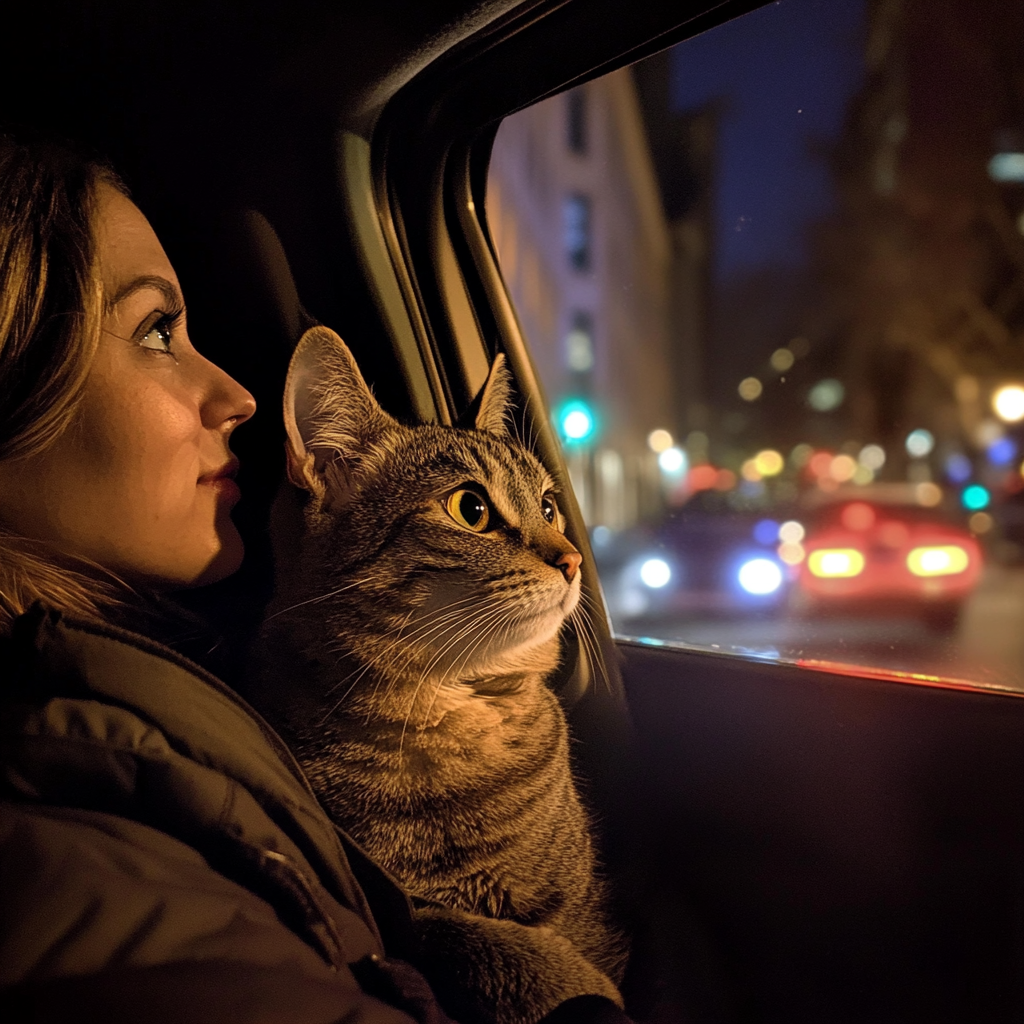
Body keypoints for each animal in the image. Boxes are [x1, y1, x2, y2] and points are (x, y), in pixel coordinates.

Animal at [251, 327, 626, 1024]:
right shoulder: (413, 905)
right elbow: (471, 939)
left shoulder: (580, 909)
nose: (572, 561)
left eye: (548, 506)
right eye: (470, 508)